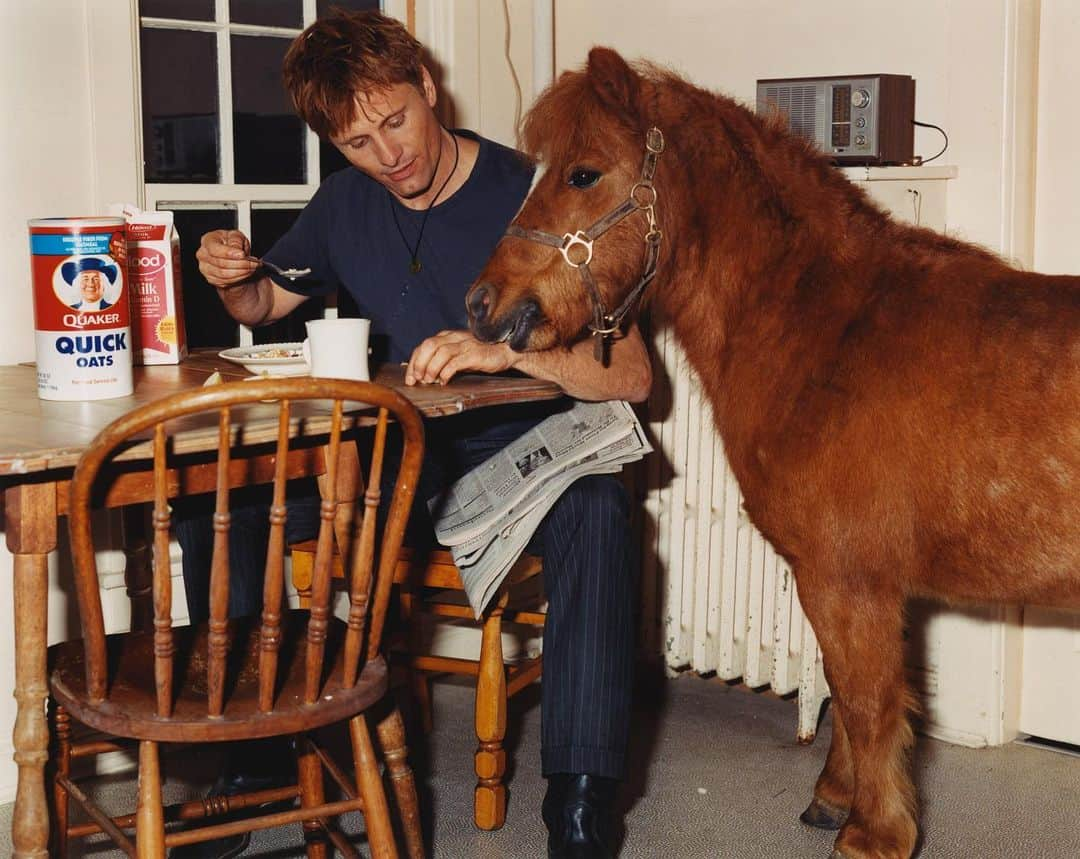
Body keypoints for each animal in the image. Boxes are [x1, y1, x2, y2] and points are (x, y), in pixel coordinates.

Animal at [468, 45, 1080, 859]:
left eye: (583, 173)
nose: (481, 304)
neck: (830, 331)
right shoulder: (850, 584)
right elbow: (848, 693)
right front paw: (836, 798)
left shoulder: (847, 580)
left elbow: (868, 699)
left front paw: (874, 832)